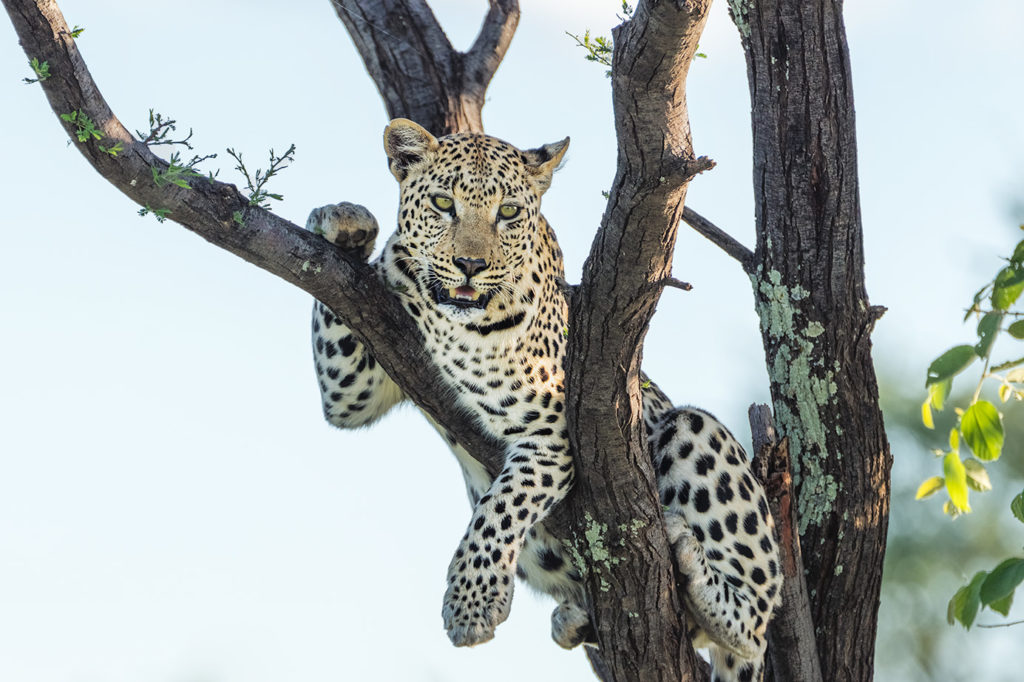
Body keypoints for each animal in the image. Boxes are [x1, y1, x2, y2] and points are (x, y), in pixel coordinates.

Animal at [307, 119, 778, 675]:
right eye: (443, 203)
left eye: (509, 212)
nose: (469, 264)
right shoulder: (352, 389)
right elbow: (339, 318)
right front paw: (346, 225)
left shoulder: (551, 435)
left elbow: (500, 510)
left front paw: (471, 603)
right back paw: (575, 620)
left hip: (691, 430)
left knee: (754, 623)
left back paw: (692, 564)